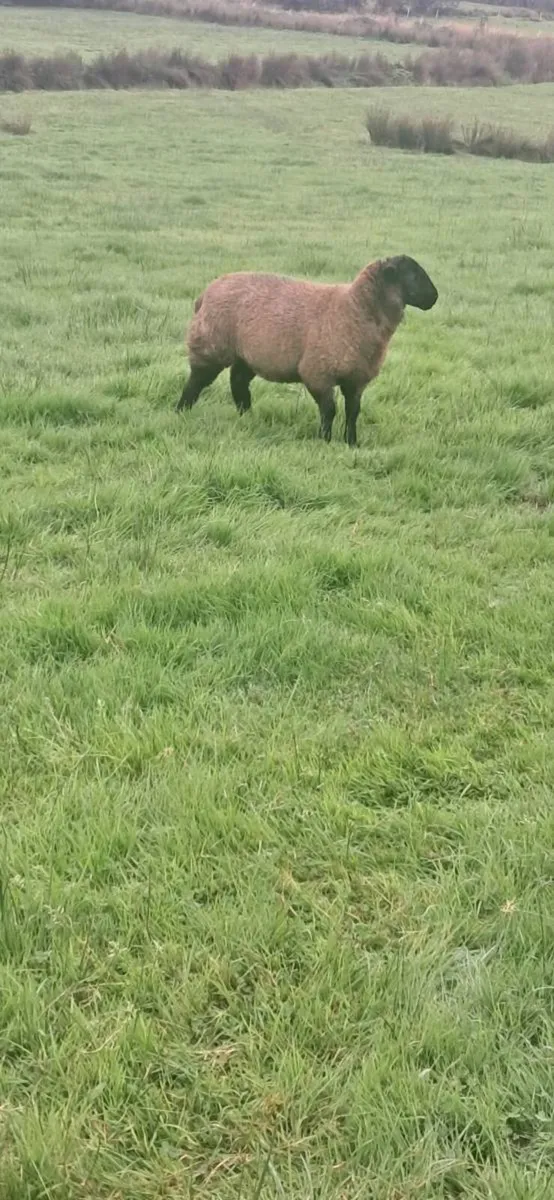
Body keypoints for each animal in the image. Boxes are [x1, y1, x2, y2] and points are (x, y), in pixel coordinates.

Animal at [176, 255, 438, 446]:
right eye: (412, 274)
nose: (434, 298)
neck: (354, 308)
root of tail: (205, 293)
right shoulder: (318, 373)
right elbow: (329, 410)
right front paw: (325, 440)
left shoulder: (356, 378)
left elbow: (353, 412)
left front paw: (352, 443)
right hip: (211, 344)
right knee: (196, 381)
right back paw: (181, 412)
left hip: (247, 354)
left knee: (238, 383)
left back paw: (247, 417)